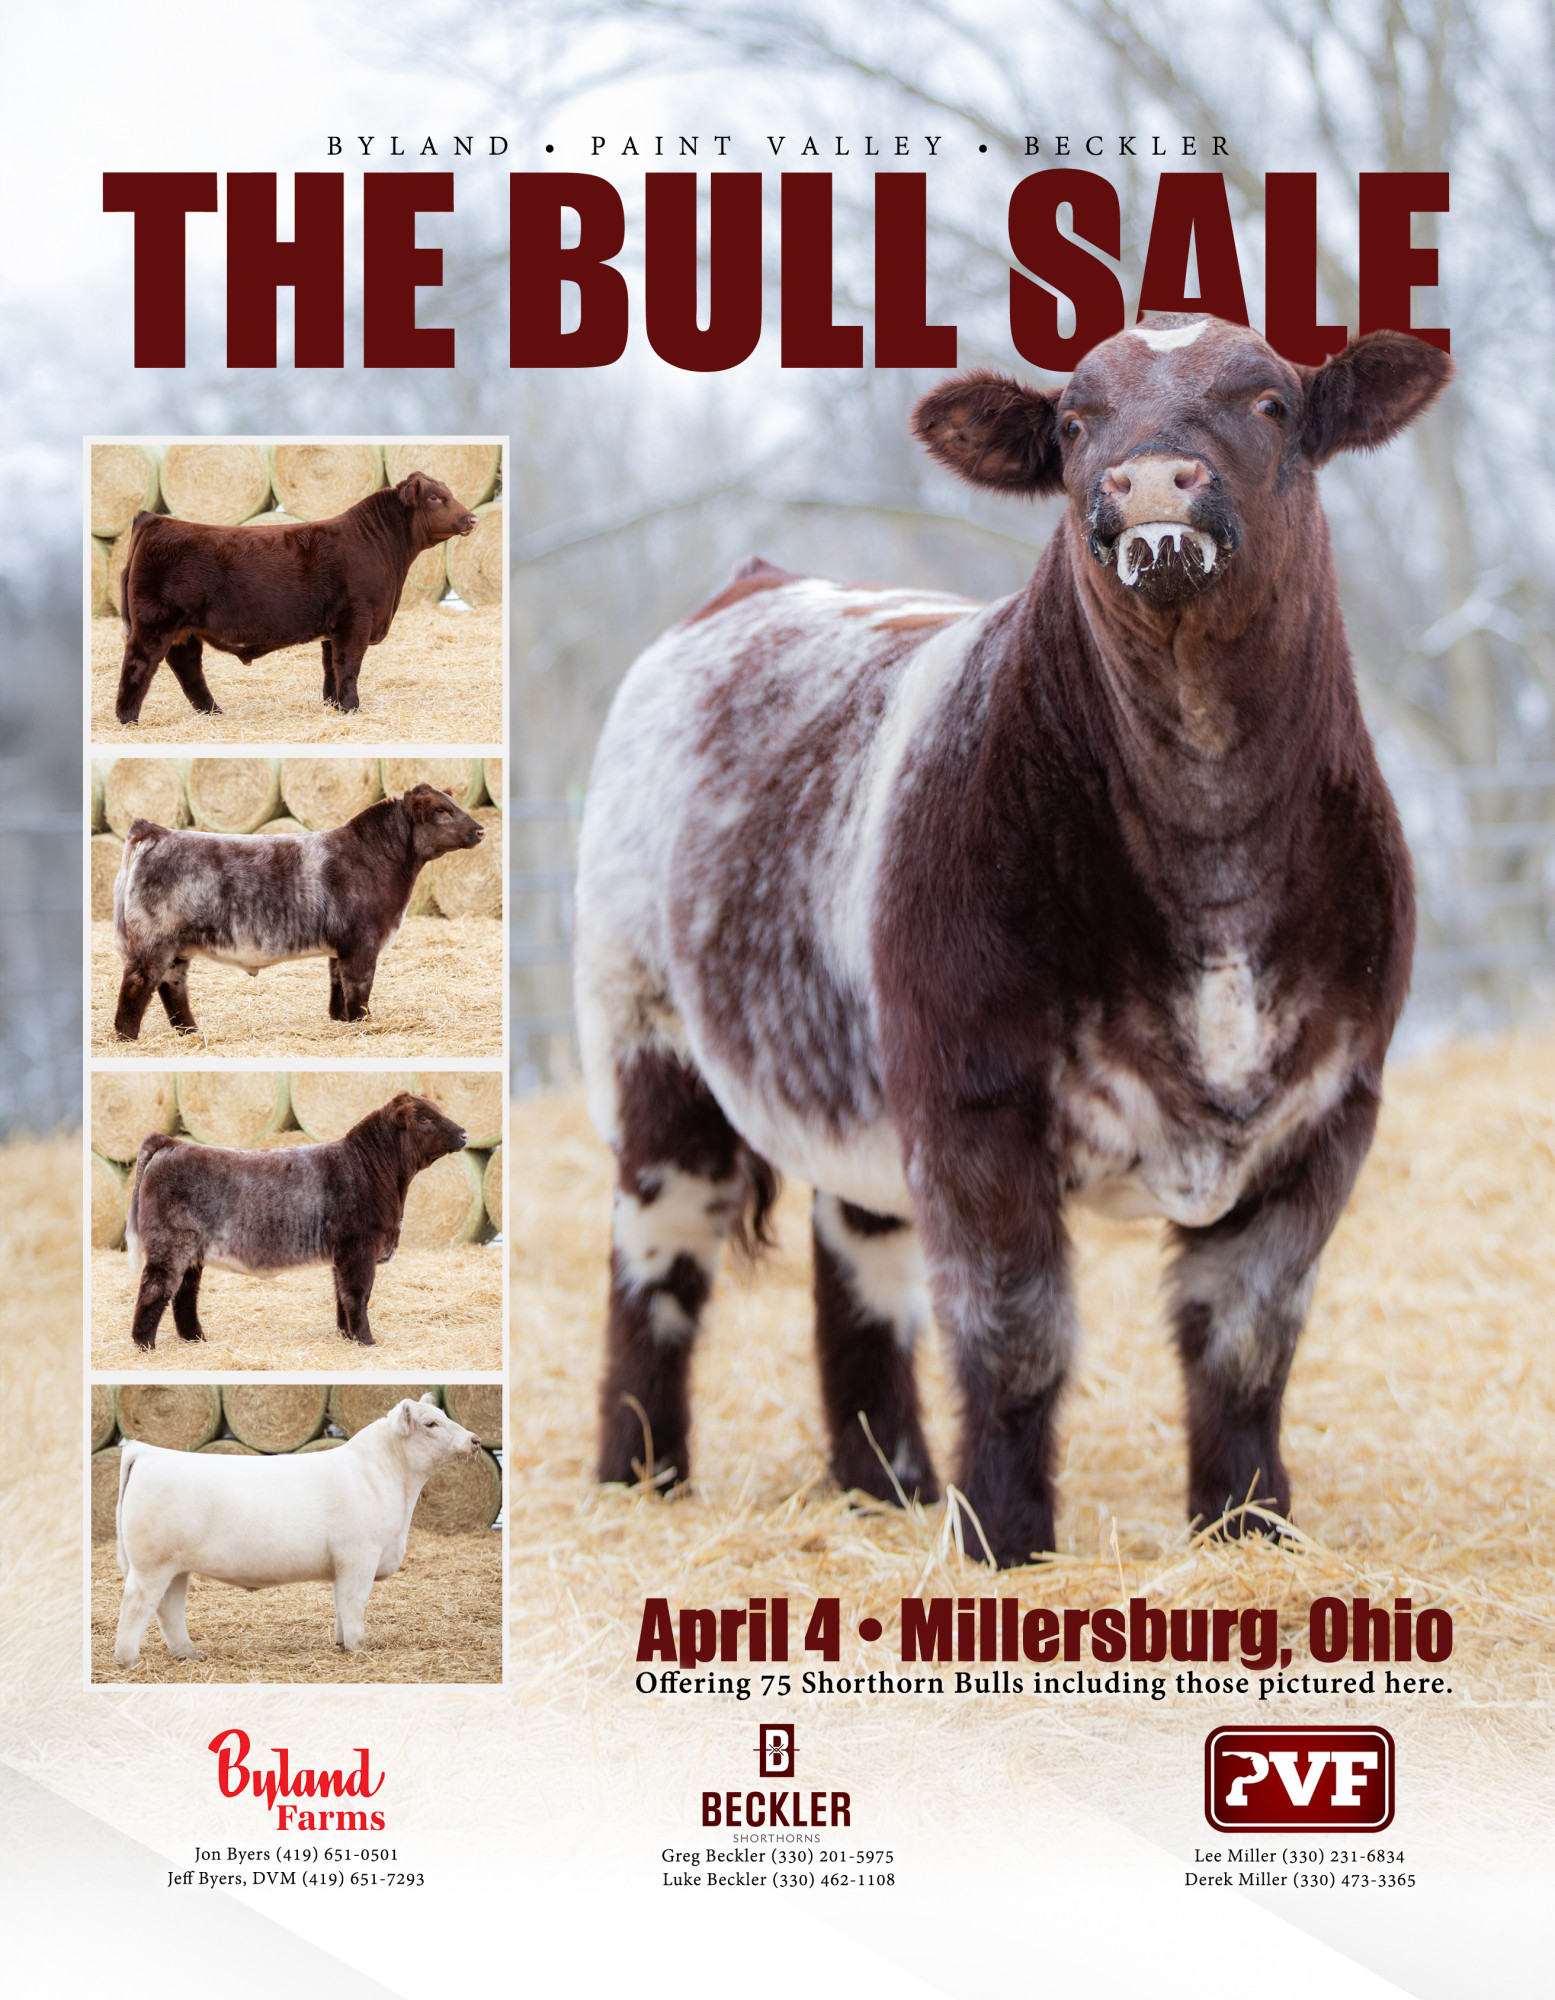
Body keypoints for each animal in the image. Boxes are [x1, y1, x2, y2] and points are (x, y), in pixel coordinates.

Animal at [111, 782, 484, 1040]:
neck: (375, 857)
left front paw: (341, 1020)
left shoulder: (340, 947)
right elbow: (359, 987)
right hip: (153, 941)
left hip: (176, 949)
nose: (480, 829)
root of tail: (157, 831)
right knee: (137, 984)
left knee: (171, 987)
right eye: (442, 811)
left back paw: (190, 1032)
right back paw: (127, 1036)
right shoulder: (363, 943)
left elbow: (338, 985)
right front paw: (362, 1023)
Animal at [113, 1396, 483, 1666]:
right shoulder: (359, 1557)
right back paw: (128, 1661)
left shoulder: (341, 1565)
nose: (475, 1440)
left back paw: (189, 1655)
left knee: (168, 1610)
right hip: (151, 1566)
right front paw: (358, 1648)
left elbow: (340, 1605)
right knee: (136, 1606)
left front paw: (342, 1644)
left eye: (443, 1414)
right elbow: (354, 1604)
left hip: (176, 1568)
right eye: (431, 1422)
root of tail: (146, 1451)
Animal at [114, 470, 479, 724]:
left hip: (184, 631)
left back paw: (213, 712)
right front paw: (352, 708)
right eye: (434, 498)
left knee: (188, 670)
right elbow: (349, 665)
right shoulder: (356, 619)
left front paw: (334, 705)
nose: (472, 518)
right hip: (155, 623)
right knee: (138, 666)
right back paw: (128, 719)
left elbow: (331, 667)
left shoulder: (334, 627)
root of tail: (155, 520)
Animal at [125, 1092, 468, 1349]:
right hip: (170, 1245)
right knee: (155, 1288)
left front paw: (347, 1336)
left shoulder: (342, 1255)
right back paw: (145, 1345)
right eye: (424, 1118)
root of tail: (172, 1143)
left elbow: (341, 1295)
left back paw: (195, 1338)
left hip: (193, 1252)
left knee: (184, 1293)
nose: (464, 1133)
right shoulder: (359, 1248)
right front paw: (366, 1340)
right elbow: (358, 1294)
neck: (371, 1169)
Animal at [573, 315, 1453, 1568]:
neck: (1214, 851)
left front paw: (1247, 1524)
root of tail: (758, 581)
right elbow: (1015, 1332)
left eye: (1271, 401)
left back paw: (884, 1481)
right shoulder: (974, 1097)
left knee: (859, 1267)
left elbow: (1245, 1339)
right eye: (1075, 421)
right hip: (649, 1045)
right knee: (656, 1254)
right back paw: (640, 1472)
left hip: (857, 1085)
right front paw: (1004, 1533)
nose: (1147, 482)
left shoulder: (1329, 1107)